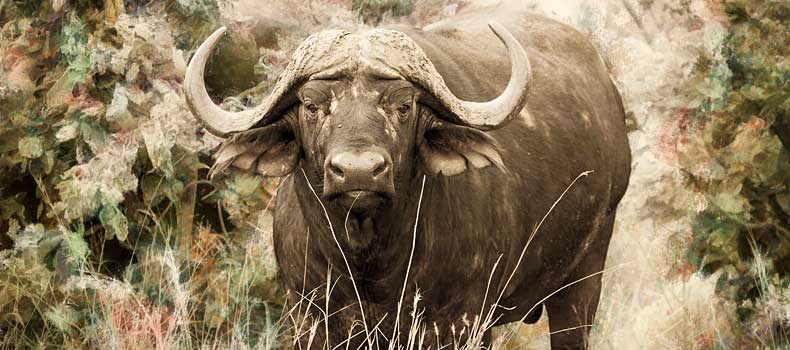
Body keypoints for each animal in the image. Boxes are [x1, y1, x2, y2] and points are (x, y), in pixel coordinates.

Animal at [184, 3, 632, 350]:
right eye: (312, 106)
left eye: (402, 106)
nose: (359, 171)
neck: (371, 264)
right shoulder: (310, 317)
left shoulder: (461, 321)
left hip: (584, 279)